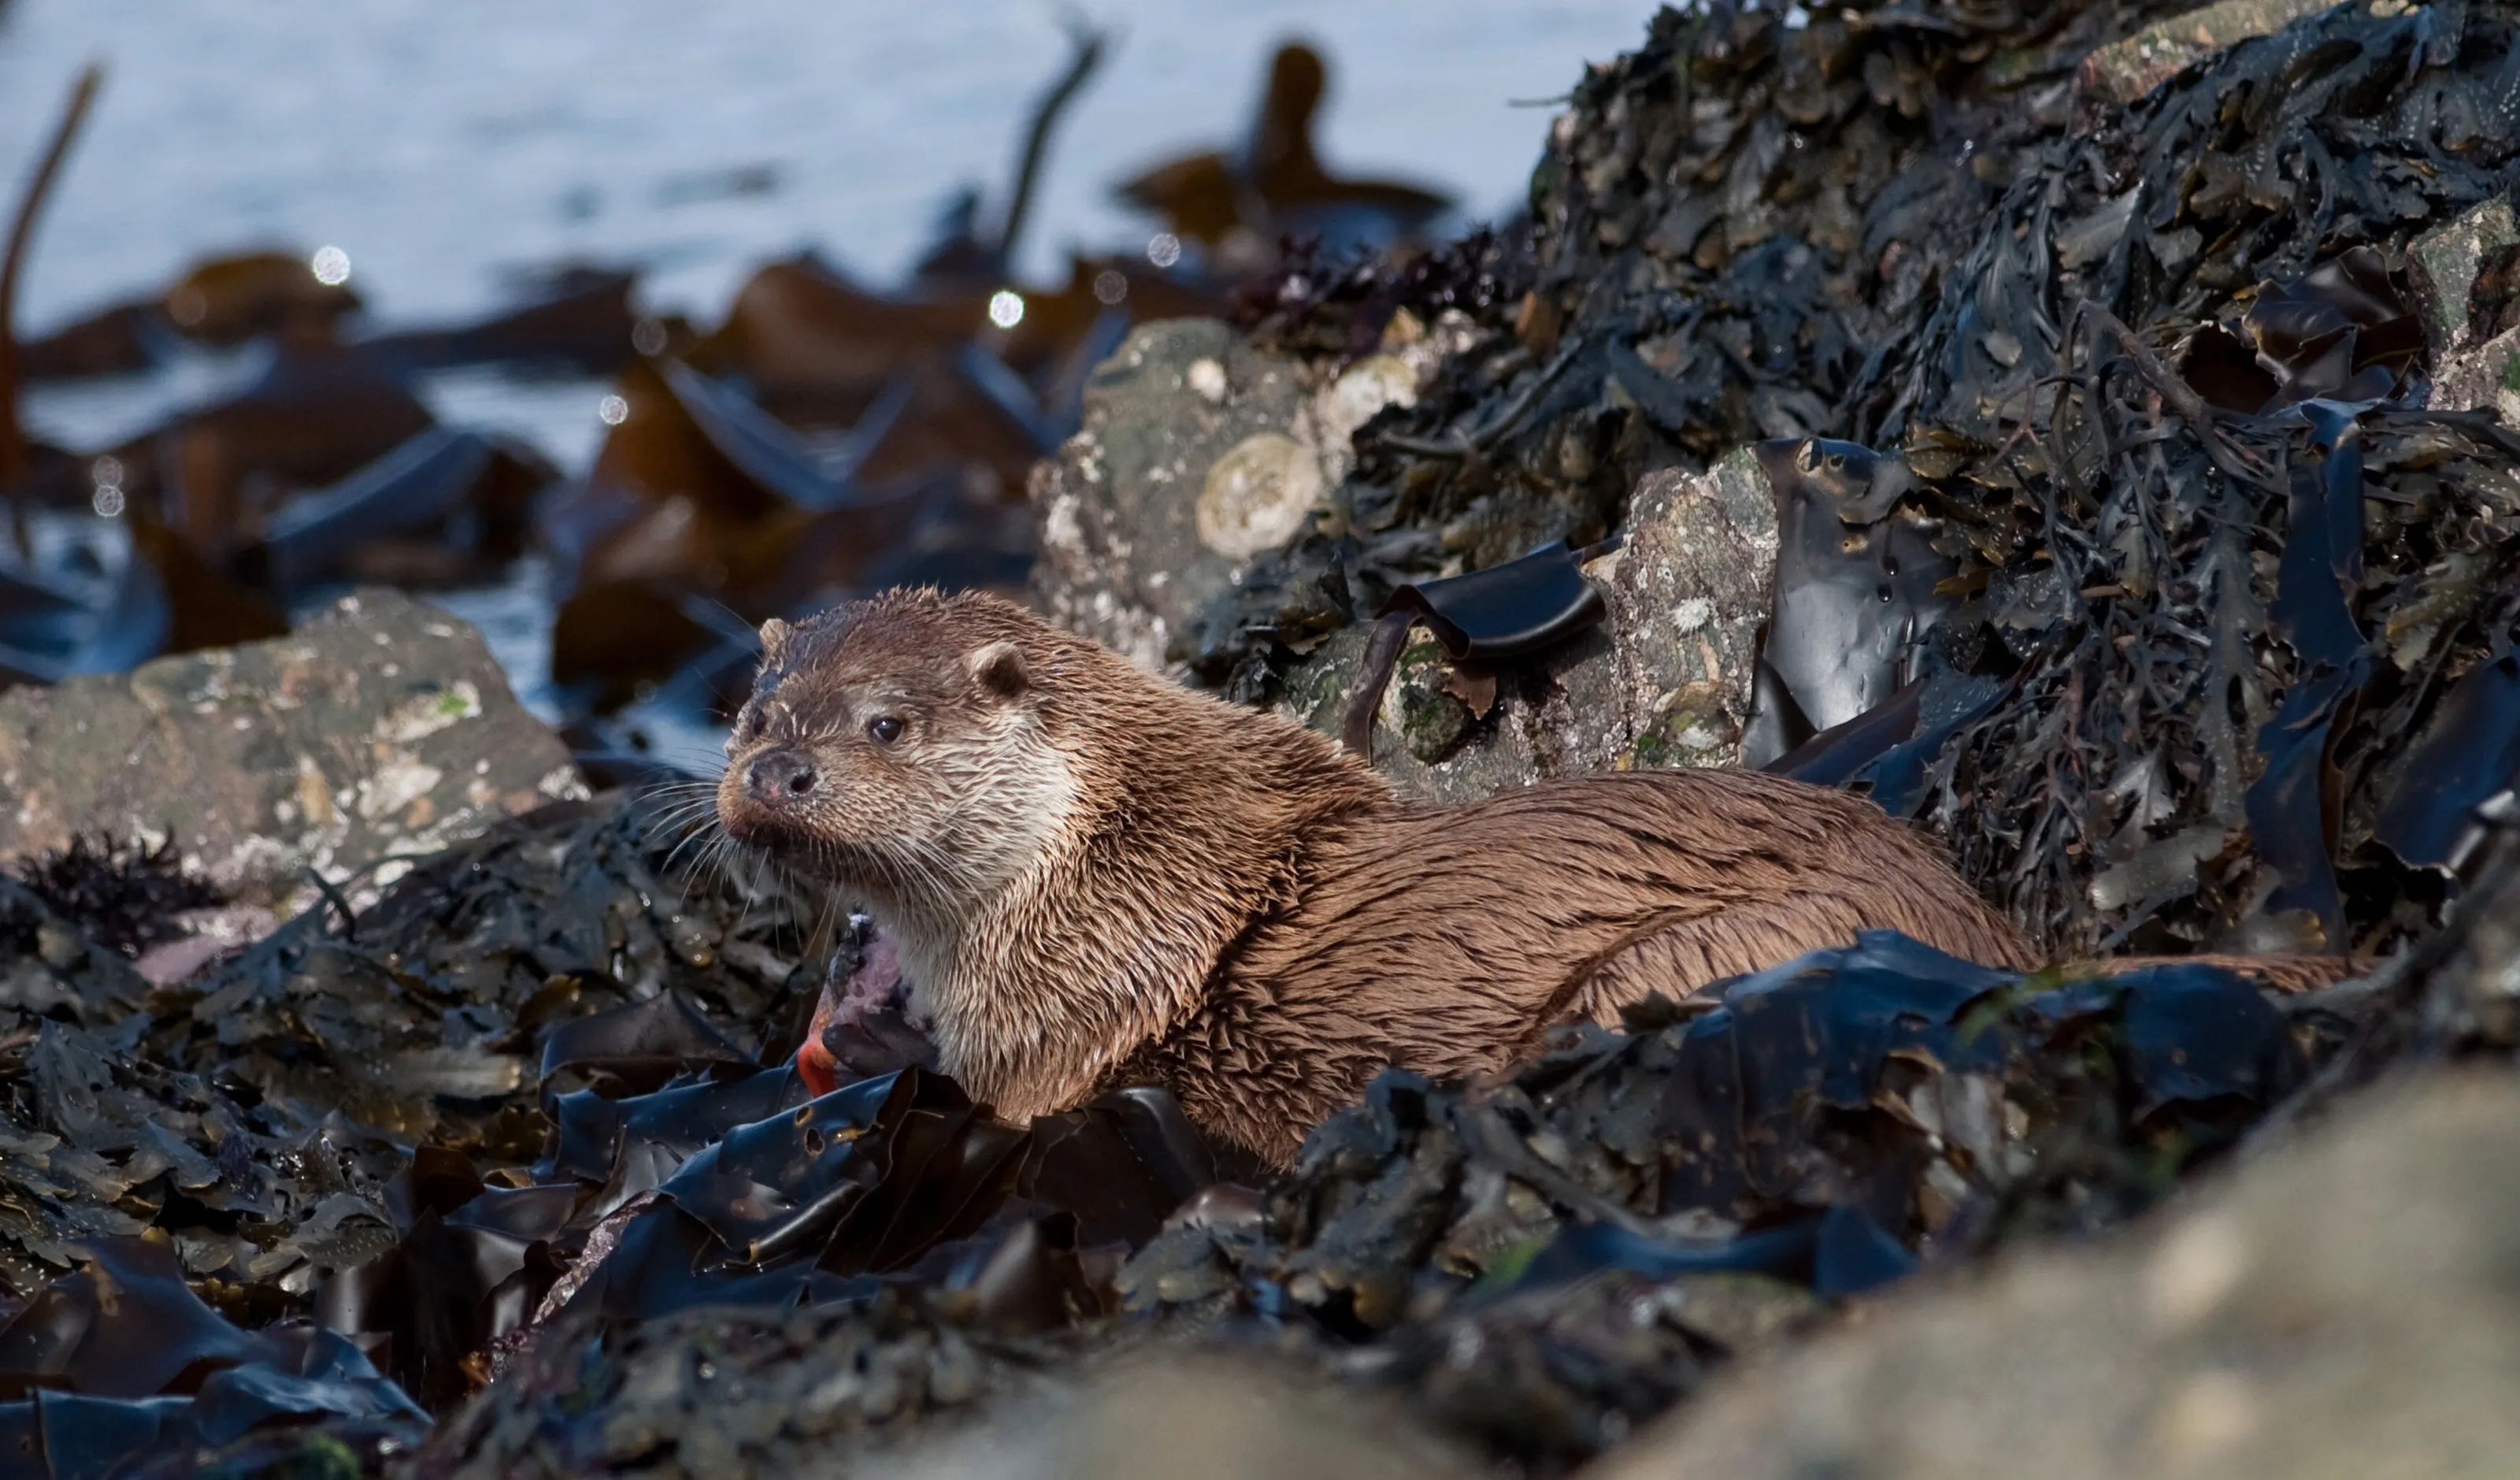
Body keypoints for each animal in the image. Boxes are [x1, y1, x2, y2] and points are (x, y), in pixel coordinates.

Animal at [713, 589, 2293, 1167]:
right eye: (751, 712)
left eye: (882, 724)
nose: (773, 776)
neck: (1108, 861)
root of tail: (1985, 926)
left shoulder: (1062, 1031)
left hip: (1686, 958)